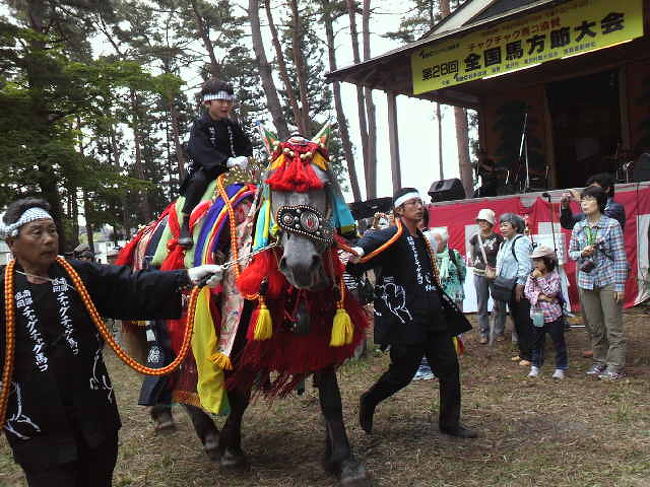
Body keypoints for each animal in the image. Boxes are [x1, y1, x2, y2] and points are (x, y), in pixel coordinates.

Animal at [116, 126, 370, 484]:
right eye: (274, 190)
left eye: (323, 185)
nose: (301, 264)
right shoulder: (236, 339)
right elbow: (239, 395)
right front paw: (230, 449)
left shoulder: (321, 330)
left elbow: (330, 396)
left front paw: (343, 460)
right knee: (174, 376)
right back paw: (207, 435)